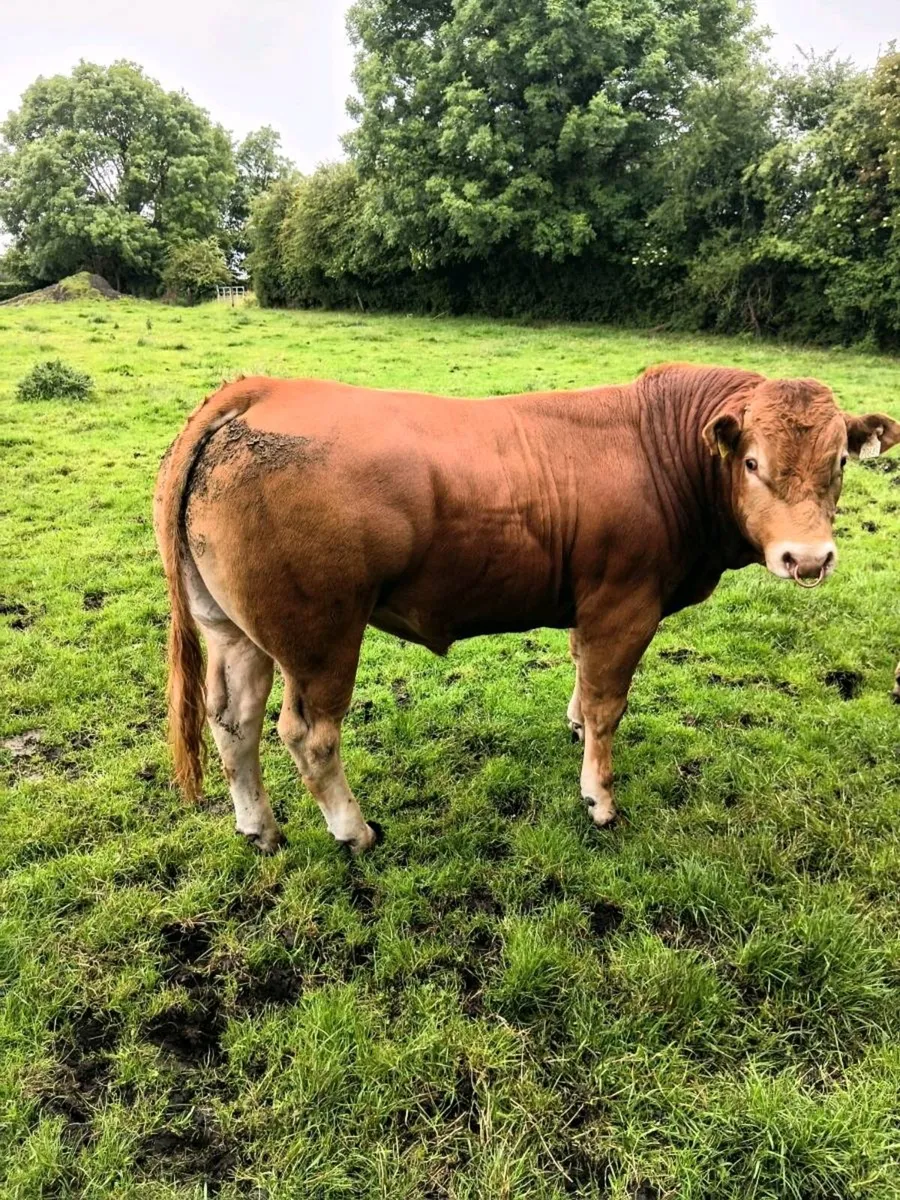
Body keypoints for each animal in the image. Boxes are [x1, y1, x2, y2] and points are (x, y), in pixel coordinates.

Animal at [154, 365, 899, 855]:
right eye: (751, 462)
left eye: (839, 461)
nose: (808, 558)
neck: (663, 450)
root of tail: (265, 390)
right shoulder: (624, 606)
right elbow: (607, 704)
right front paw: (599, 798)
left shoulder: (589, 605)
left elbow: (581, 677)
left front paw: (572, 724)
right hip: (321, 638)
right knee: (309, 736)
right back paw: (353, 831)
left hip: (235, 631)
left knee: (233, 721)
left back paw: (260, 828)